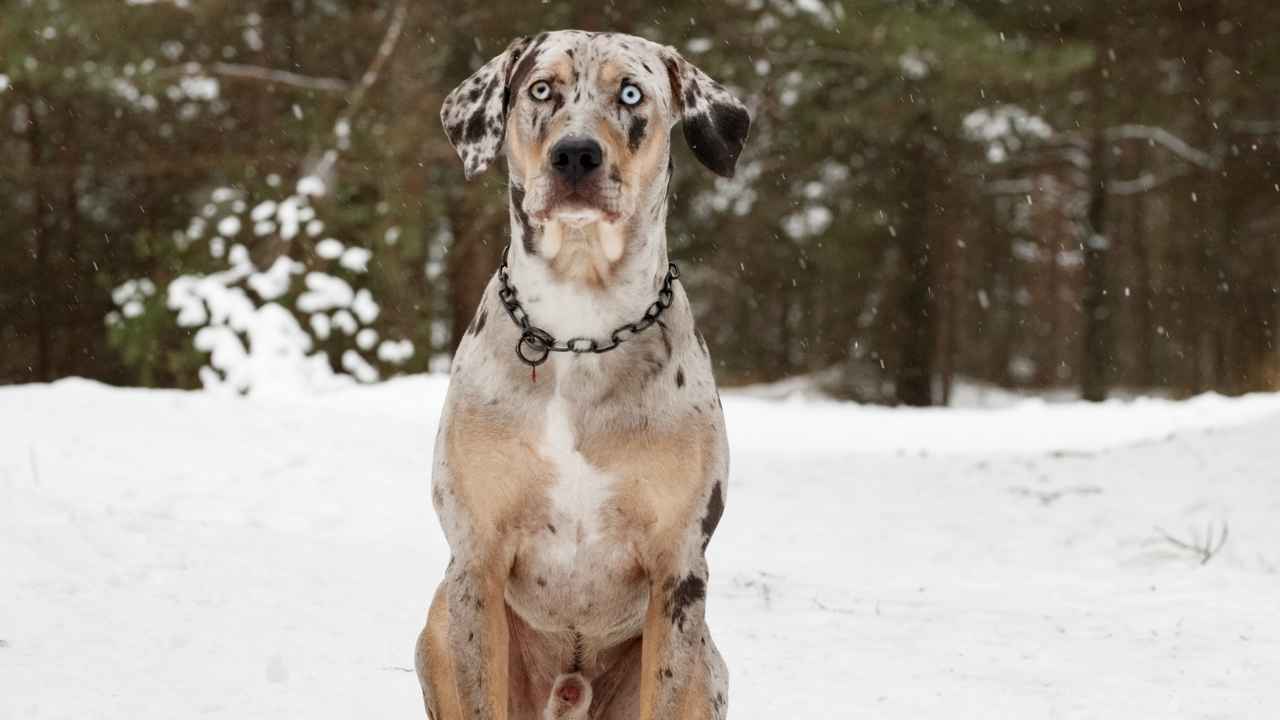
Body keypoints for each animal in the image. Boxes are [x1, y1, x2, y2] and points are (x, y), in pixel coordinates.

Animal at [414, 29, 747, 717]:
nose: (575, 155)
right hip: (436, 621)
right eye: (542, 89)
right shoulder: (477, 561)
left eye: (631, 93)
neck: (579, 328)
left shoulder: (679, 573)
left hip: (711, 665)